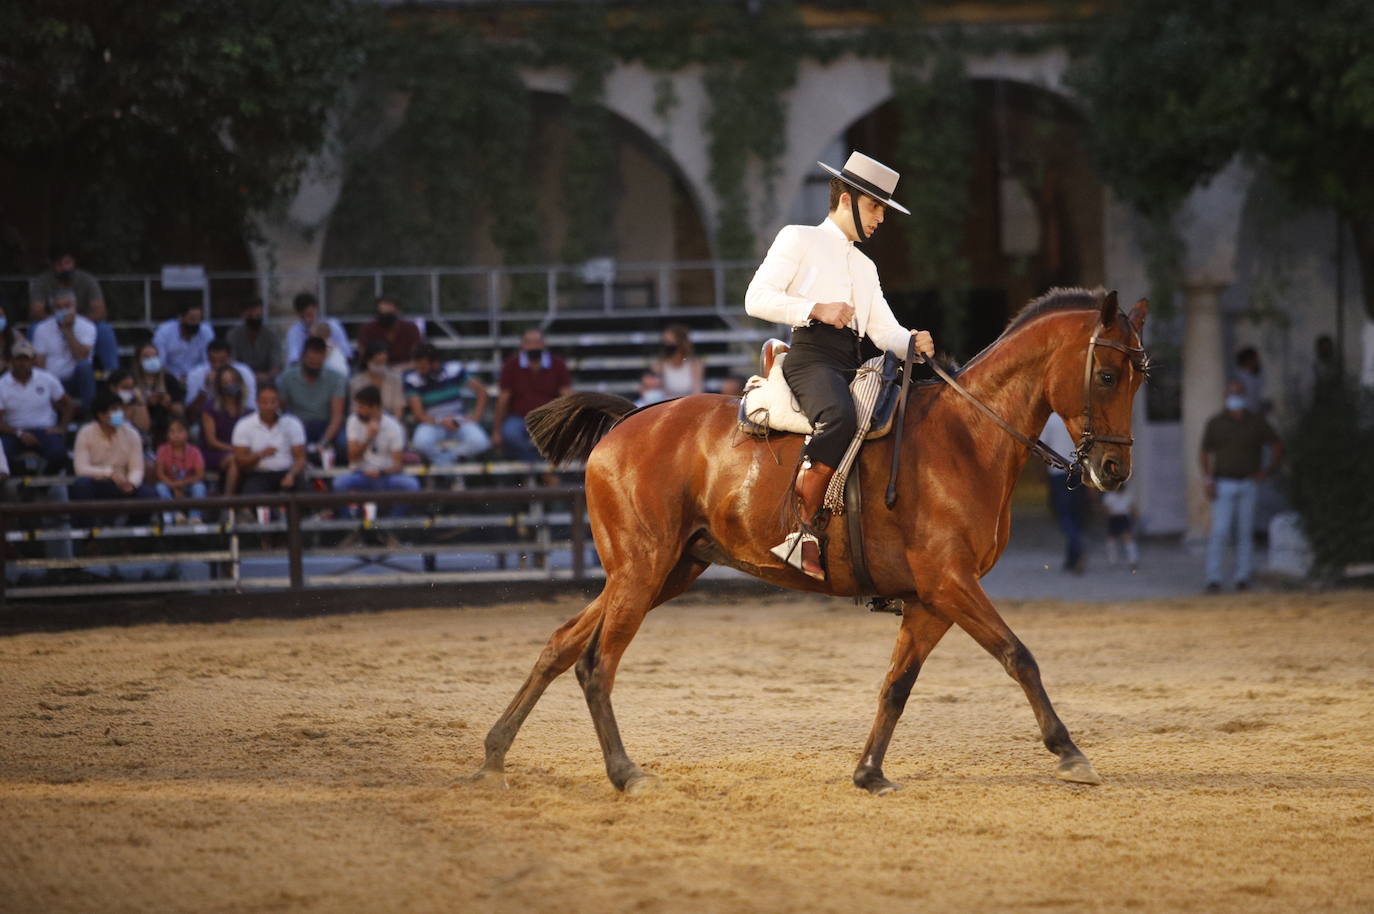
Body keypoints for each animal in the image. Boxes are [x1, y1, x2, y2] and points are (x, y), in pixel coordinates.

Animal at [483, 290, 1148, 791]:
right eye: (1107, 374)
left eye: (1140, 379)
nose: (1115, 471)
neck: (966, 437)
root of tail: (628, 421)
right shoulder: (950, 583)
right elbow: (1019, 656)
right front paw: (1069, 752)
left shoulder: (933, 600)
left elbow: (896, 686)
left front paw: (869, 772)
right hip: (641, 570)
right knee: (596, 663)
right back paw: (625, 772)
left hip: (659, 572)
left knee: (562, 644)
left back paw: (495, 750)